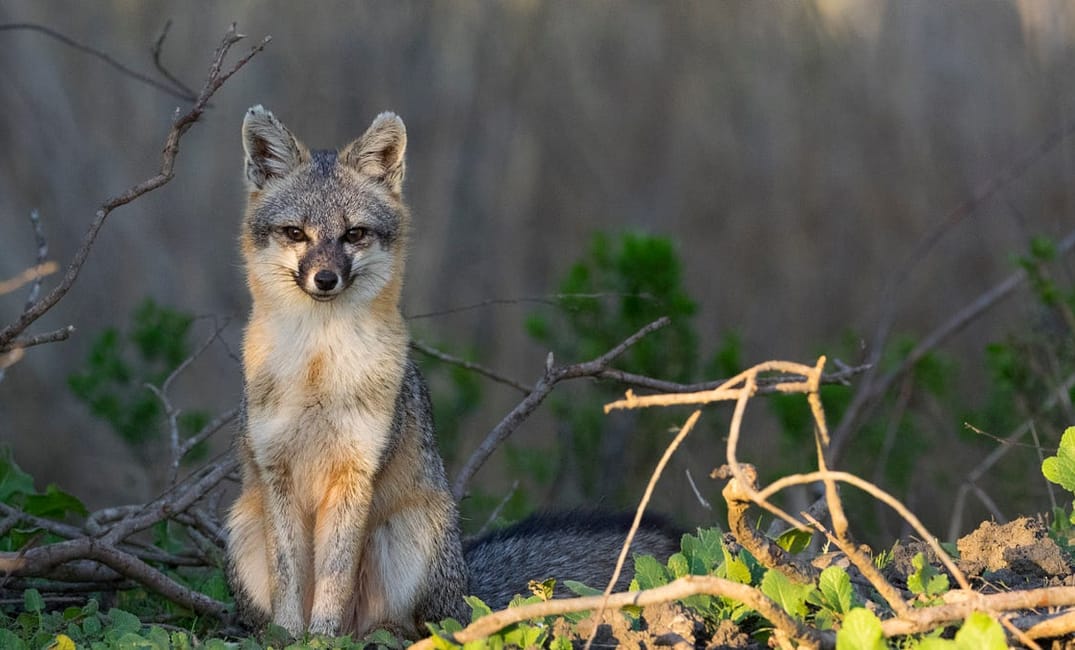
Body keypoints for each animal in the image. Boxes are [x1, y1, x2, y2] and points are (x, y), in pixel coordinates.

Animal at [225, 106, 680, 640]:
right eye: (296, 233)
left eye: (353, 234)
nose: (325, 279)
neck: (319, 368)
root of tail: (465, 583)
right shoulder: (276, 471)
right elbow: (290, 580)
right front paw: (289, 637)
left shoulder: (356, 471)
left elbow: (334, 581)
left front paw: (321, 640)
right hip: (243, 526)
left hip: (409, 534)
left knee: (413, 626)